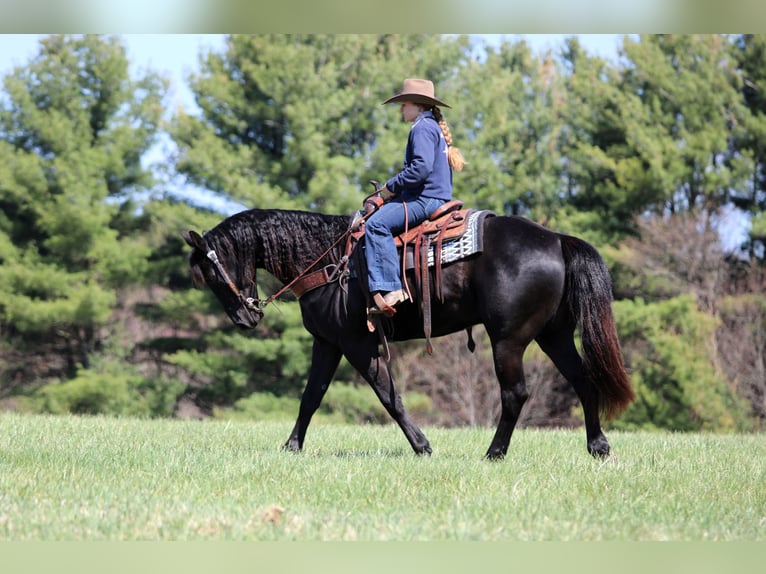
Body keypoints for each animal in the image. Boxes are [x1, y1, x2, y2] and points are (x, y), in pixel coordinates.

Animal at [182, 207, 634, 459]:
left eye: (211, 273)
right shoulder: (327, 343)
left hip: (508, 340)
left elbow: (390, 397)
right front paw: (292, 447)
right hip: (553, 336)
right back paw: (597, 446)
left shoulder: (358, 344)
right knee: (583, 381)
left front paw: (422, 446)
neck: (329, 260)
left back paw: (494, 453)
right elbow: (311, 397)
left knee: (515, 394)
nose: (245, 318)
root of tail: (556, 240)